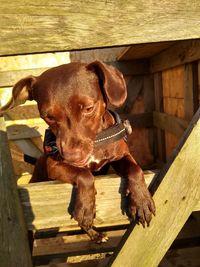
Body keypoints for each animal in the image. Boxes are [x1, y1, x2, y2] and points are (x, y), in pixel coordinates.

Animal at [0, 60, 155, 243]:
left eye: (88, 108)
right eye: (48, 116)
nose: (72, 156)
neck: (97, 140)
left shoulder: (121, 156)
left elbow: (135, 169)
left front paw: (141, 200)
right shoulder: (54, 166)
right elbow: (84, 174)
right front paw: (86, 206)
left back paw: (95, 234)